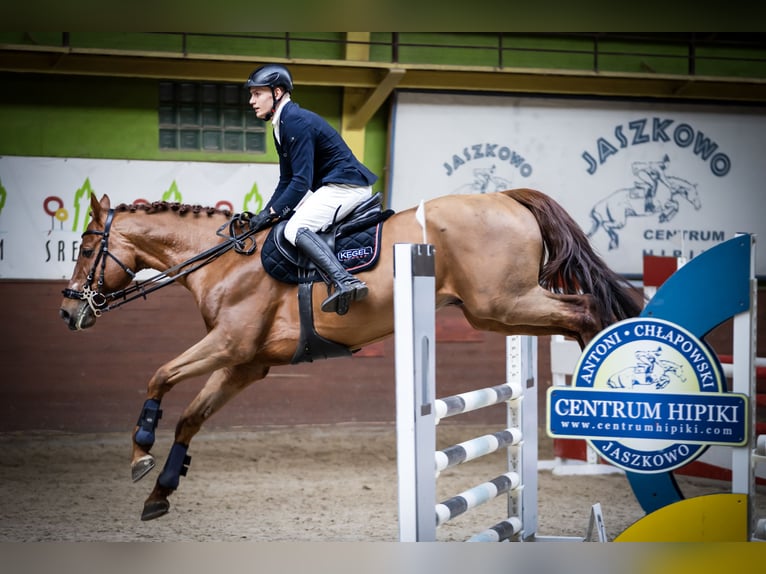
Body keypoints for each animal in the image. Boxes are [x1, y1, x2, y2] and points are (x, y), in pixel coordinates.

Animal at [58, 189, 640, 520]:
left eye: (85, 249)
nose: (68, 313)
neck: (222, 261)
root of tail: (509, 197)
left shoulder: (227, 345)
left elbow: (159, 377)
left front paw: (140, 453)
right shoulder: (245, 364)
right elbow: (191, 419)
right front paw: (160, 491)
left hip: (506, 301)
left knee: (588, 309)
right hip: (497, 313)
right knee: (582, 314)